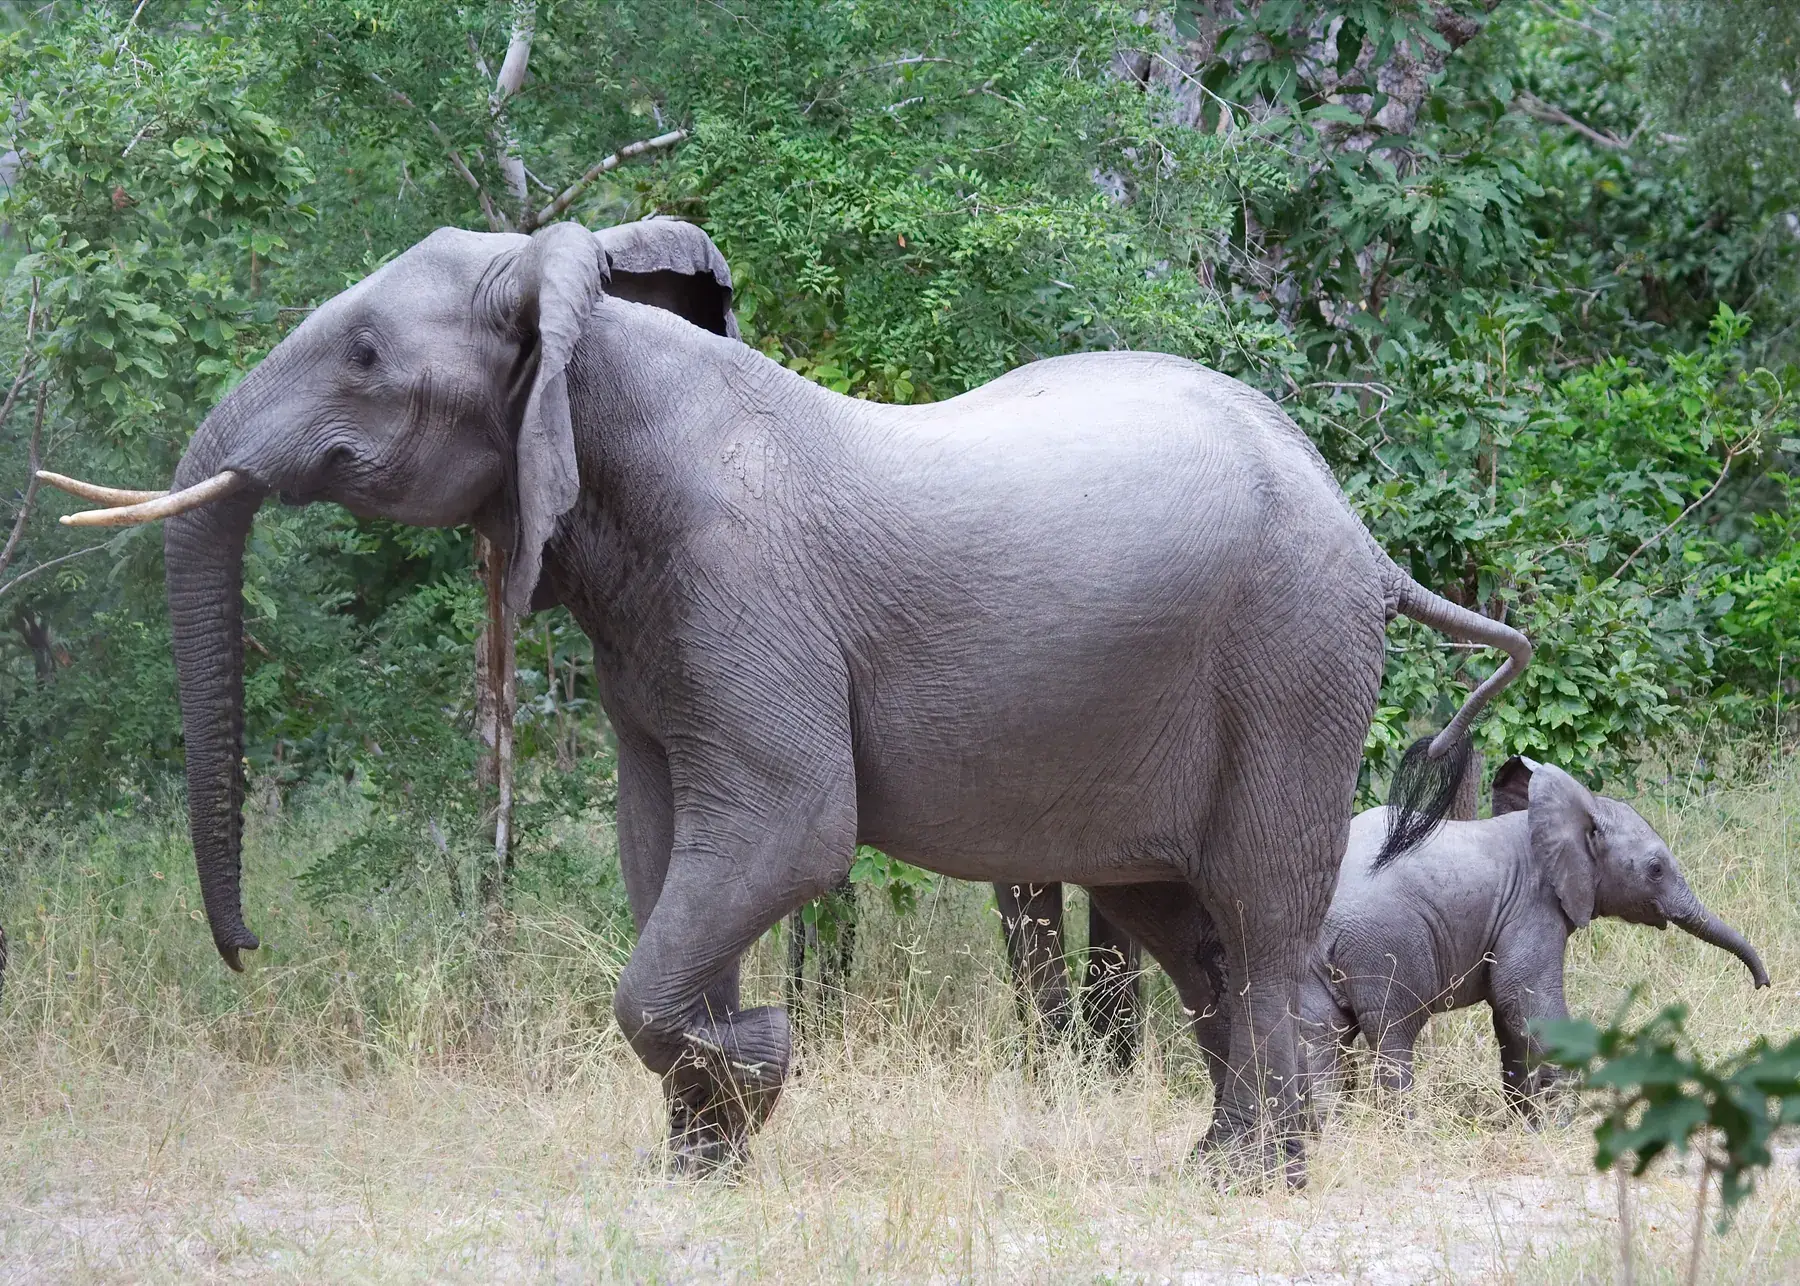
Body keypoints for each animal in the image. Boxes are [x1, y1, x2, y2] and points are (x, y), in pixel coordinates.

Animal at [43, 217, 1532, 1187]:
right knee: (1192, 932)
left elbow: (787, 832)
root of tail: (1370, 543)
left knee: (1265, 922)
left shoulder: (743, 589)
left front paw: (752, 1066)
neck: (601, 354)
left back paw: (1255, 1186)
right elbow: (662, 848)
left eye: (360, 352)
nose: (249, 951)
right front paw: (705, 1159)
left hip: (1290, 666)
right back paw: (1204, 1162)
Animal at [1297, 755, 1771, 1116]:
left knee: (1322, 1039)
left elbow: (1511, 1018)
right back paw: (1404, 1130)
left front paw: (1529, 1123)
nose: (1762, 985)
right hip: (1387, 944)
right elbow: (1523, 1000)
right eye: (1655, 869)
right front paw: (1562, 1123)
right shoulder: (1531, 907)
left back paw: (1331, 1132)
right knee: (1393, 1035)